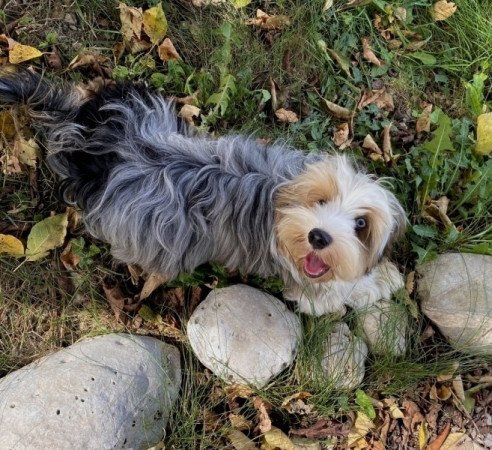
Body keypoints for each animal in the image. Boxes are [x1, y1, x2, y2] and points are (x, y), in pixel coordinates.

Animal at [0, 67, 406, 316]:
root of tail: (107, 145)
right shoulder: (308, 285)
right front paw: (381, 282)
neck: (282, 193)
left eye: (360, 225)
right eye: (320, 200)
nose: (319, 236)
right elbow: (340, 291)